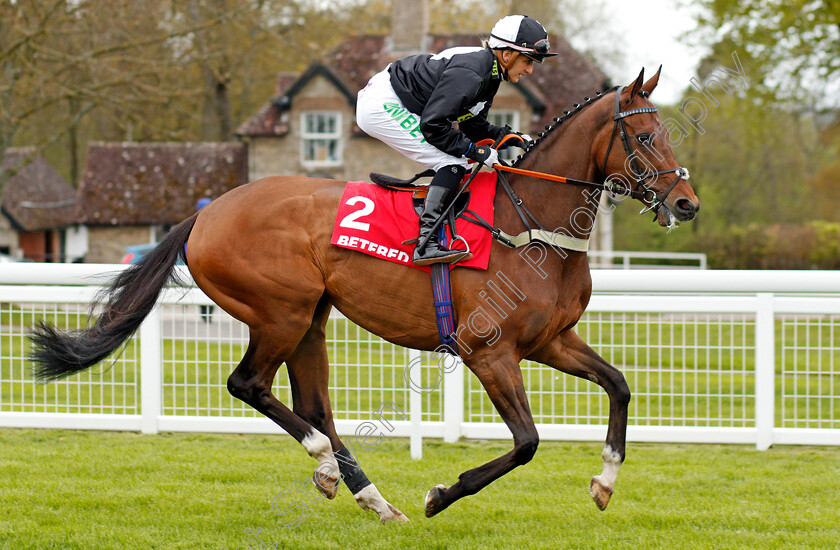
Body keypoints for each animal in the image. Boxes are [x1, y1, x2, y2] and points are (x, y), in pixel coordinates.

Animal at [29, 68, 700, 520]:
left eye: (668, 133)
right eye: (644, 138)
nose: (687, 203)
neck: (532, 222)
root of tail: (206, 213)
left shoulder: (550, 341)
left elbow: (619, 385)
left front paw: (605, 482)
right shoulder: (489, 351)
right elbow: (528, 441)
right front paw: (440, 493)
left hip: (312, 319)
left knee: (313, 405)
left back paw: (370, 496)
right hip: (280, 311)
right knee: (251, 386)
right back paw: (331, 466)